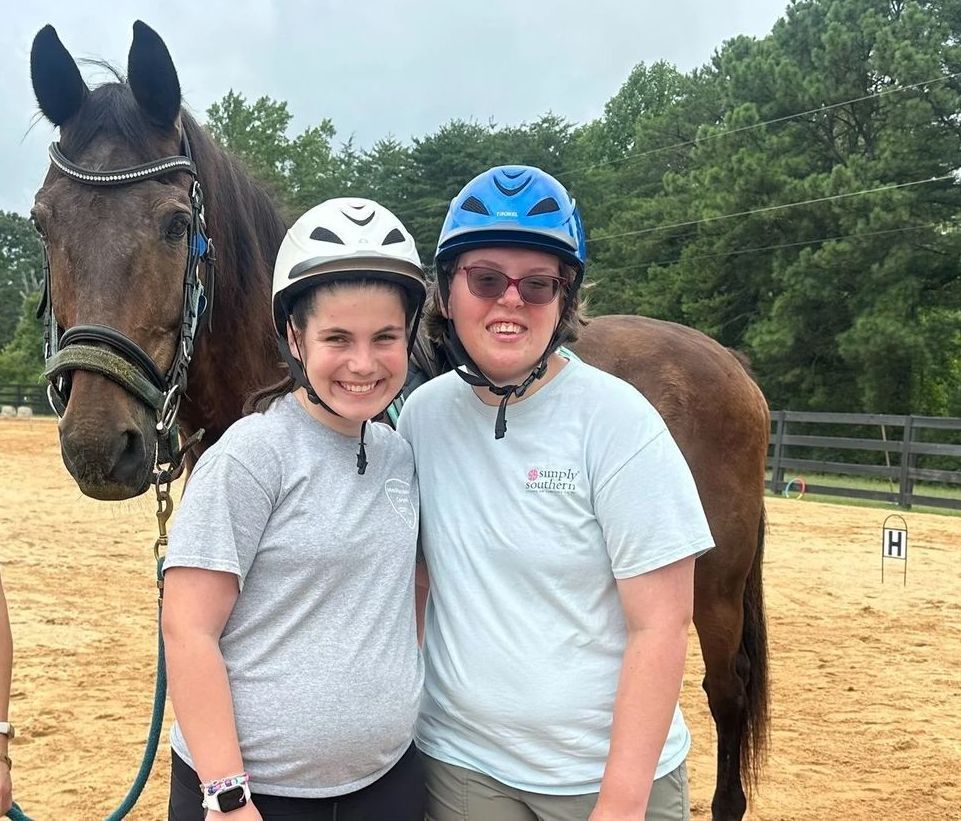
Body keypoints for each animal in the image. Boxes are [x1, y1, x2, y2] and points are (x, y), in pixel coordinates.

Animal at [29, 22, 769, 821]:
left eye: (173, 224)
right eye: (42, 221)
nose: (99, 445)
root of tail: (728, 364)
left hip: (714, 587)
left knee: (724, 693)